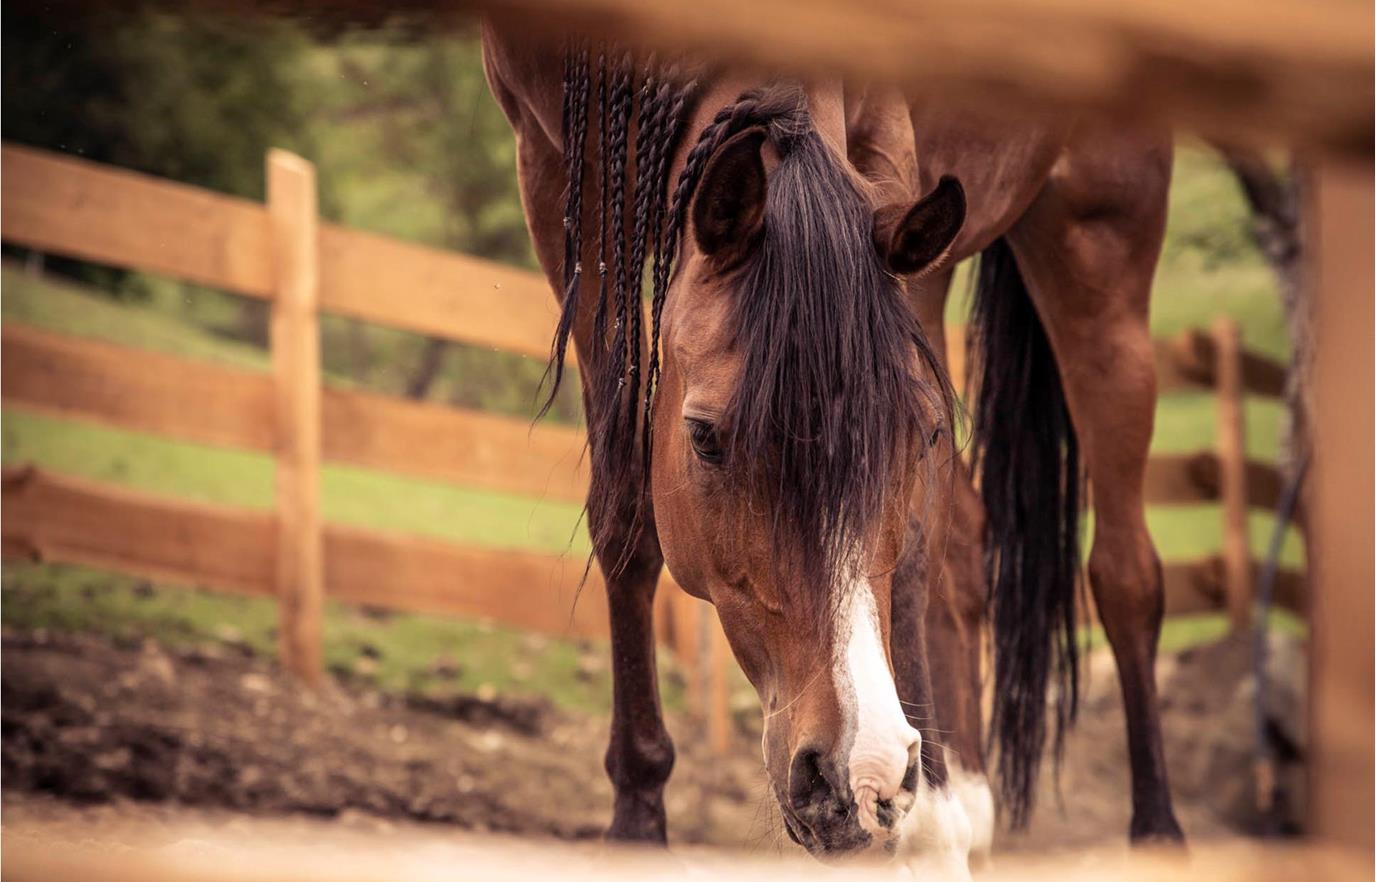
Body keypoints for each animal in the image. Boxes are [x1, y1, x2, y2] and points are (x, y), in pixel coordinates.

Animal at [484, 22, 1183, 869]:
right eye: (704, 437)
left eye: (923, 433)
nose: (855, 772)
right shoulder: (562, 181)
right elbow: (623, 515)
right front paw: (637, 818)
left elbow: (910, 550)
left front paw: (921, 825)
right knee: (968, 539)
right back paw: (965, 800)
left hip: (1099, 245)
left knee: (1123, 571)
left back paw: (1145, 830)